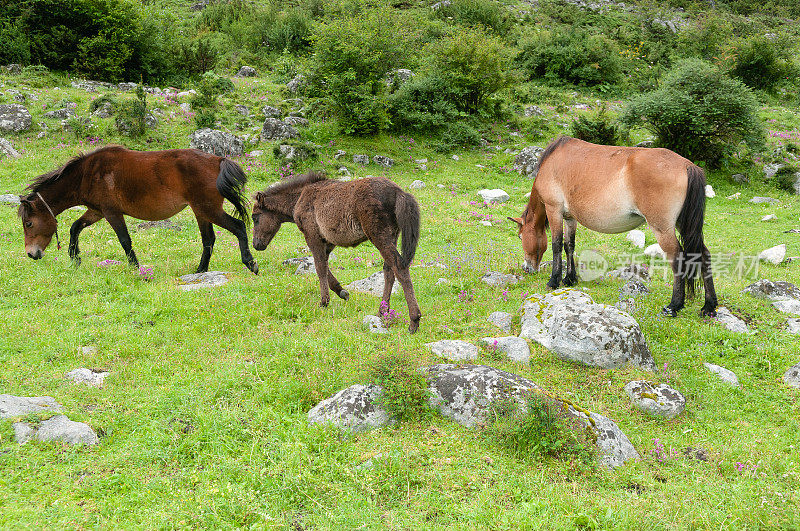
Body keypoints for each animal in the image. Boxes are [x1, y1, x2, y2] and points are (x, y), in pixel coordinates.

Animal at [18, 145, 260, 274]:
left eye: (28, 223)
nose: (31, 253)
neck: (88, 173)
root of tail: (217, 160)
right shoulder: (97, 212)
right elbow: (75, 228)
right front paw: (74, 258)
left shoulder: (112, 213)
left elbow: (125, 241)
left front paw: (136, 268)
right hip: (201, 212)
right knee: (208, 239)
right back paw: (200, 271)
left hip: (208, 209)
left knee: (238, 227)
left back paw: (250, 263)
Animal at [253, 174, 422, 332]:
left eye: (255, 217)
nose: (256, 244)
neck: (300, 197)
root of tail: (399, 192)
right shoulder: (328, 241)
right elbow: (324, 266)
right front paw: (341, 292)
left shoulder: (312, 236)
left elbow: (319, 268)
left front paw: (324, 302)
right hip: (392, 236)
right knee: (389, 271)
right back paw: (382, 312)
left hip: (379, 236)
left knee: (399, 267)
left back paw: (414, 320)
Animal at [512, 137, 720, 318]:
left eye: (521, 237)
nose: (527, 268)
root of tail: (687, 165)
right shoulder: (570, 217)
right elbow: (568, 245)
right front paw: (570, 278)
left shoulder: (554, 209)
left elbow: (556, 245)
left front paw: (554, 281)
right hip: (684, 225)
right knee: (703, 254)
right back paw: (709, 306)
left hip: (662, 229)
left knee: (677, 258)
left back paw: (674, 305)